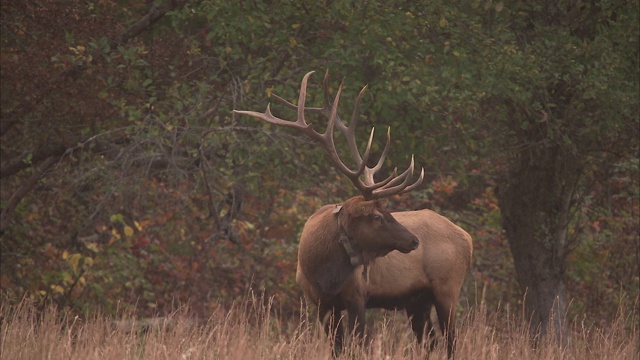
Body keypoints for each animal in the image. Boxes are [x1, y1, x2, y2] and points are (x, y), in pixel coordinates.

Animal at [232, 70, 472, 358]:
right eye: (377, 217)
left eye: (387, 211)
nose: (414, 240)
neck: (323, 271)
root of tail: (468, 238)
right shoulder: (321, 303)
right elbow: (337, 348)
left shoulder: (358, 296)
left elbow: (357, 345)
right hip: (417, 301)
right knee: (430, 343)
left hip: (448, 288)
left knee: (452, 342)